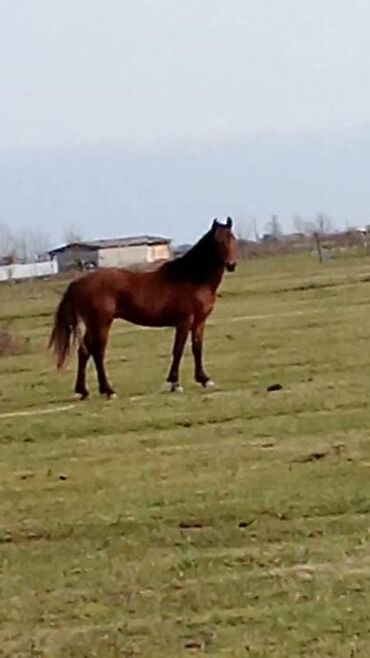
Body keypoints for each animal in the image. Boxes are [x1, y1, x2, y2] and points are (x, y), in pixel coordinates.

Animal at [48, 218, 237, 398]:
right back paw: (108, 390)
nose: (231, 264)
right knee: (97, 352)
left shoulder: (199, 322)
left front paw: (204, 379)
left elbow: (197, 349)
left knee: (84, 352)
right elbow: (178, 350)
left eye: (232, 238)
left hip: (93, 324)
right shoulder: (184, 322)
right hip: (101, 323)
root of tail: (78, 283)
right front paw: (174, 383)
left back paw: (83, 391)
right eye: (217, 241)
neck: (192, 278)